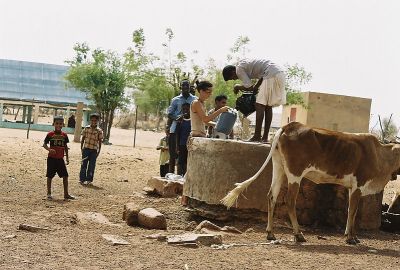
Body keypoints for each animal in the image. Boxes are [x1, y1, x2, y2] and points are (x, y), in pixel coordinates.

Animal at [222, 122, 400, 245]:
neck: (380, 155)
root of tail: (290, 125)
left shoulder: (353, 188)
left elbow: (352, 212)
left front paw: (351, 235)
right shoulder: (358, 185)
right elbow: (352, 212)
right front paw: (350, 238)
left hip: (278, 167)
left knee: (271, 196)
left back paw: (271, 233)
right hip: (295, 174)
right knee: (290, 201)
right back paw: (298, 234)